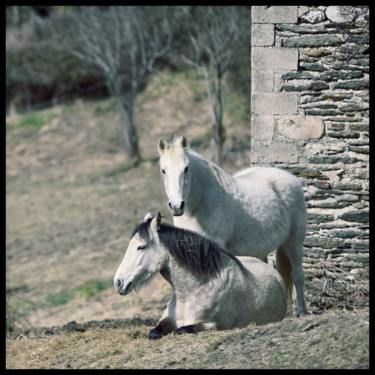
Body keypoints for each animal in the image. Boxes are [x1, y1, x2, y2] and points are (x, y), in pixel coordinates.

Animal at [114, 213, 288, 340]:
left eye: (141, 247)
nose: (118, 282)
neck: (191, 292)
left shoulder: (215, 325)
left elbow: (181, 330)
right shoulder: (165, 320)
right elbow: (153, 332)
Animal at [158, 136, 308, 318]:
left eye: (186, 168)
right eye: (163, 171)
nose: (176, 206)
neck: (202, 203)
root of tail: (291, 178)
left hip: (293, 241)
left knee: (297, 275)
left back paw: (303, 311)